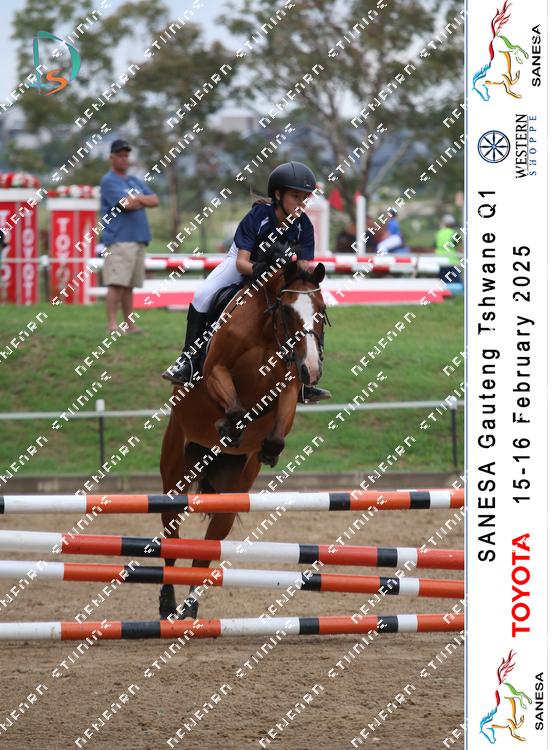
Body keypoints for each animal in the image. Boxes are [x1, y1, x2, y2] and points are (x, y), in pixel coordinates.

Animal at [159, 257, 329, 619]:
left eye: (321, 309)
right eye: (287, 310)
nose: (312, 368)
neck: (266, 333)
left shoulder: (289, 387)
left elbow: (275, 431)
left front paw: (268, 450)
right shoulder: (215, 372)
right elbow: (234, 407)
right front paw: (229, 426)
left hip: (230, 495)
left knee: (207, 549)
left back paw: (190, 608)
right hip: (175, 477)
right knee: (171, 538)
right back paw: (168, 603)